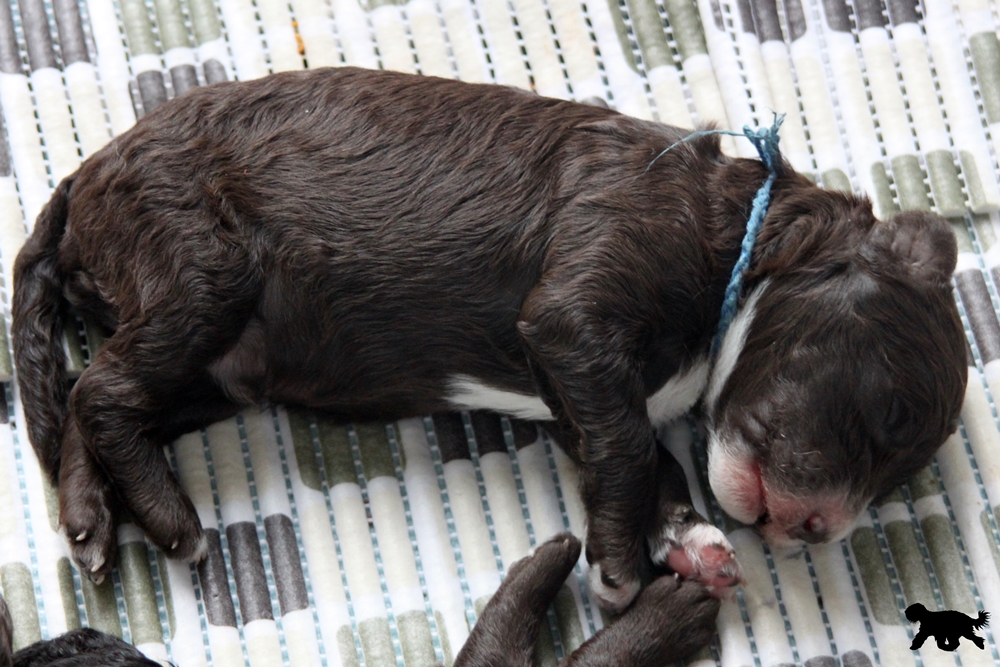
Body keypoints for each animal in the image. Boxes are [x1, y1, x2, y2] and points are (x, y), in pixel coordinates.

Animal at [11, 66, 967, 613]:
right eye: (887, 411)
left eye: (901, 472)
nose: (817, 530)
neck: (743, 236)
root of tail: (82, 176)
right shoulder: (575, 313)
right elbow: (630, 443)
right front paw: (621, 570)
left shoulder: (569, 382)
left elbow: (631, 450)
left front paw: (690, 539)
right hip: (202, 271)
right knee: (101, 388)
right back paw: (173, 522)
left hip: (219, 370)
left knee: (97, 400)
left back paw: (91, 520)